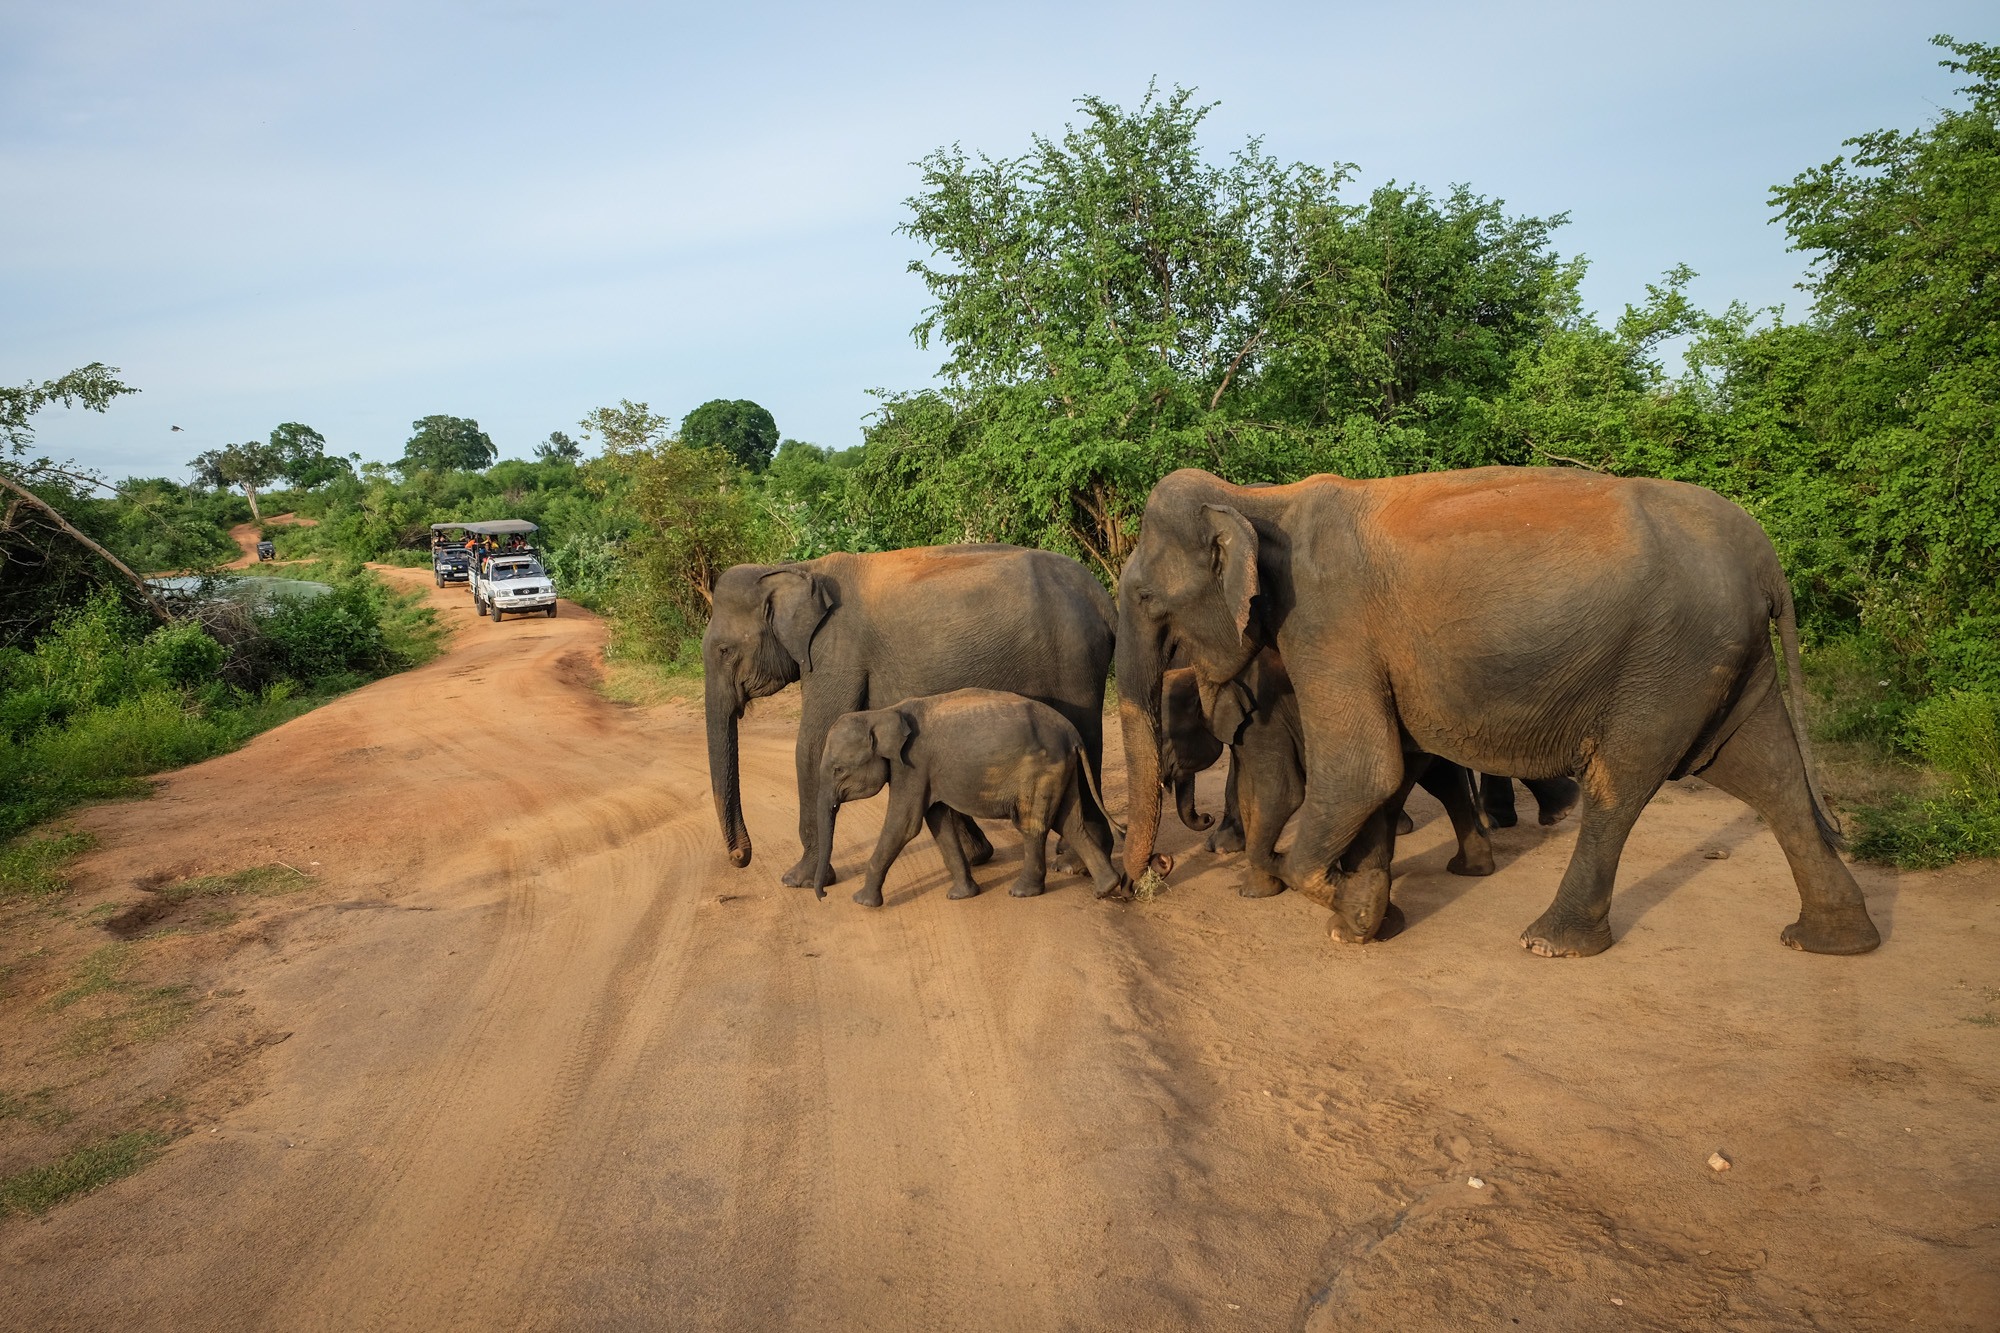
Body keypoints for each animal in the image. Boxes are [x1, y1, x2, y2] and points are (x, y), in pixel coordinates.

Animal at [708, 540, 1120, 880]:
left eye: (724, 650)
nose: (739, 858)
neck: (798, 568)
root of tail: (1105, 601)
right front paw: (976, 856)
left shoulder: (836, 652)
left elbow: (811, 744)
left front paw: (799, 880)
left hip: (1074, 658)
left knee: (1086, 732)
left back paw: (1073, 864)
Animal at [812, 684, 1128, 904]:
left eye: (839, 770)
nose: (824, 896)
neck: (882, 713)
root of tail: (1073, 734)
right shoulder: (925, 773)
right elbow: (938, 822)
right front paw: (961, 895)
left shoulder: (912, 766)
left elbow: (904, 825)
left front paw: (862, 902)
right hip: (1061, 768)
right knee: (1069, 823)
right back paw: (1107, 887)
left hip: (1041, 770)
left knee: (1032, 824)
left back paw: (1022, 892)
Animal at [1120, 466, 1880, 956]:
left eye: (1145, 600)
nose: (1150, 876)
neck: (1257, 499)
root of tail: (1763, 555)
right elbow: (1384, 771)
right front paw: (1367, 915)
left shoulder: (1328, 624)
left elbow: (1364, 770)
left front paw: (1343, 909)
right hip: (1724, 656)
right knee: (1766, 772)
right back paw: (1832, 940)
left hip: (1669, 659)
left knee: (1625, 782)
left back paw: (1551, 941)